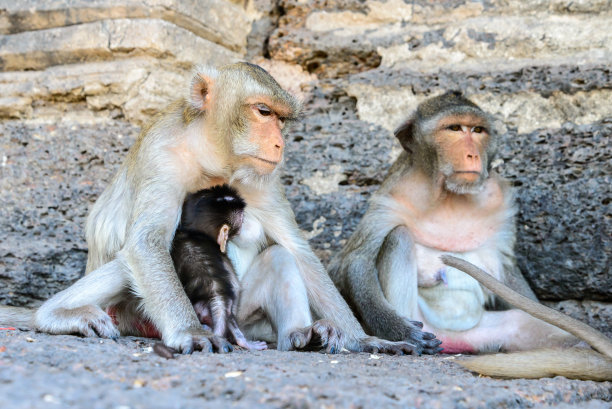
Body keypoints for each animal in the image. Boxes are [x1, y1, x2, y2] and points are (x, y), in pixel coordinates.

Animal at [172, 185, 268, 350]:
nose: (246, 221)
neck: (194, 232)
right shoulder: (224, 259)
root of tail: (213, 295)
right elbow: (235, 288)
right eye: (241, 219)